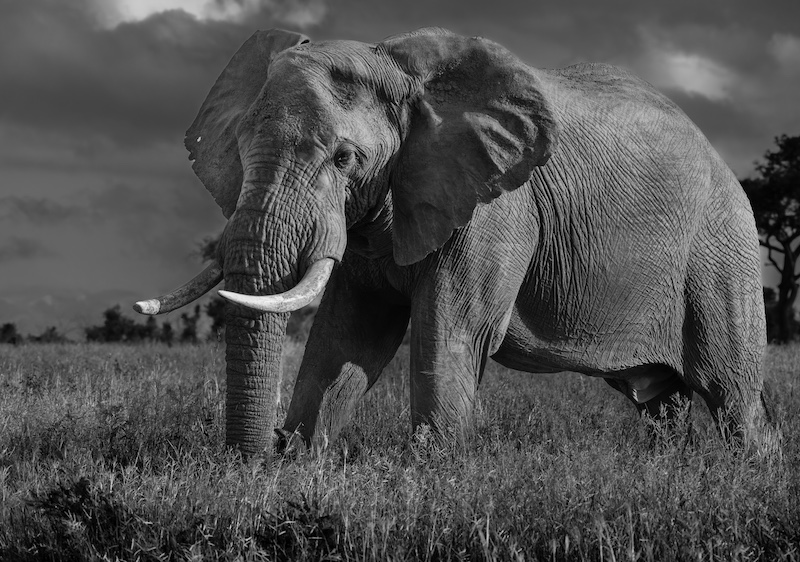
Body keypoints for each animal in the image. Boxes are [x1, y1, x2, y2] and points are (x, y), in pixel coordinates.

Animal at [134, 27, 772, 458]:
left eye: (345, 159)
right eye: (238, 152)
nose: (260, 454)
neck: (395, 67)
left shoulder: (495, 208)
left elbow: (452, 329)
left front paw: (430, 471)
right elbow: (348, 333)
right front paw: (300, 462)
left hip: (722, 247)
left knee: (731, 391)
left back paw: (747, 474)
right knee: (662, 400)